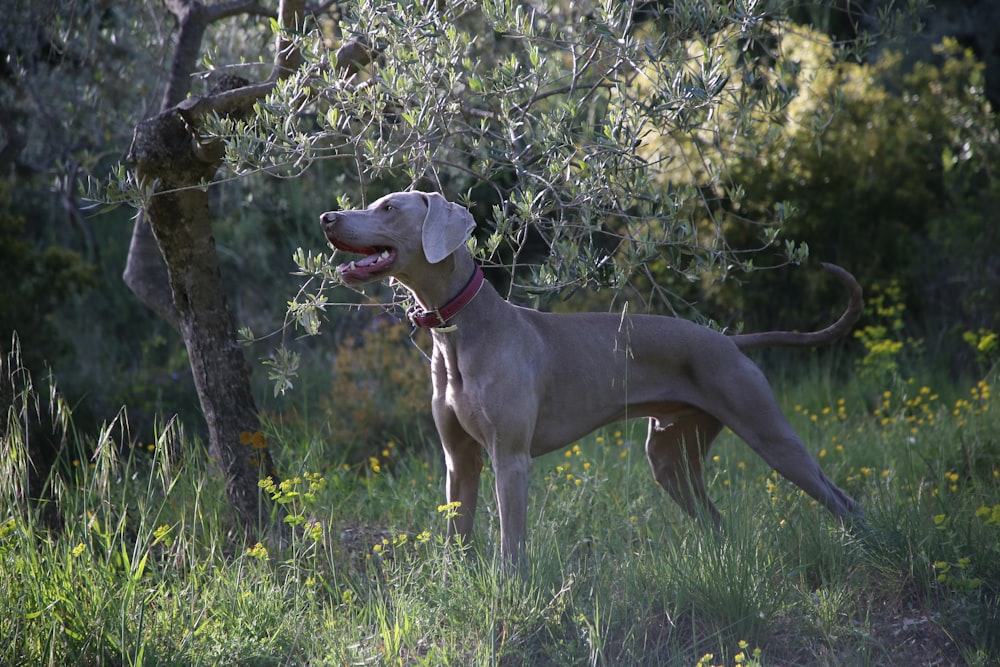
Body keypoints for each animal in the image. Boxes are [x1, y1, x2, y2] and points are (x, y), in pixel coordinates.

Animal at [322, 190, 868, 568]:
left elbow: (511, 543)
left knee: (842, 500)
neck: (460, 329)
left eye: (390, 207)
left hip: (769, 433)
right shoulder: (459, 459)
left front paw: (507, 589)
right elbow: (458, 532)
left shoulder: (510, 458)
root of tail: (732, 342)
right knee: (714, 518)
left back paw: (865, 550)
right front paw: (452, 581)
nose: (328, 218)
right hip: (669, 456)